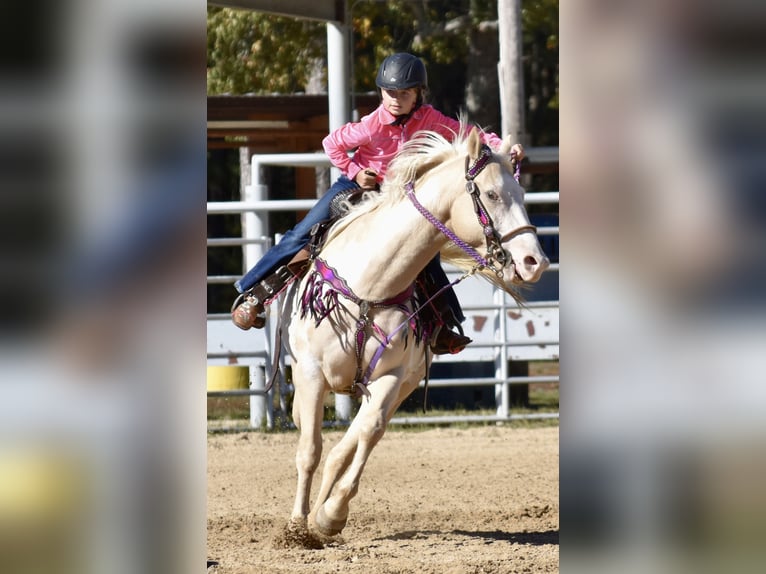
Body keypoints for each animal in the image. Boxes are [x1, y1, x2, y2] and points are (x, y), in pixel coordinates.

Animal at [276, 124, 549, 543]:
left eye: (521, 195)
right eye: (491, 194)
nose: (535, 262)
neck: (371, 283)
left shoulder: (393, 375)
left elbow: (368, 433)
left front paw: (330, 516)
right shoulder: (309, 373)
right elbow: (309, 449)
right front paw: (295, 528)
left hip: (399, 385)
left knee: (347, 446)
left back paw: (325, 516)